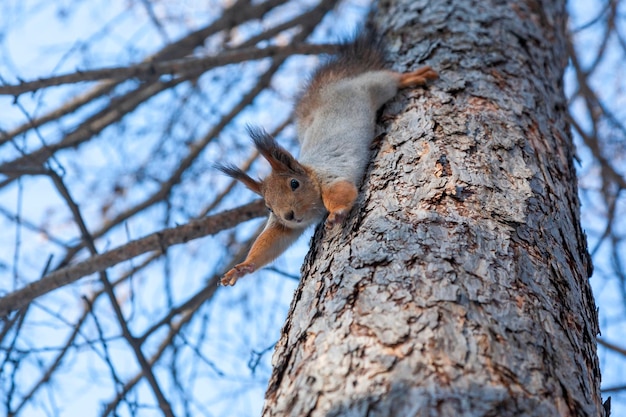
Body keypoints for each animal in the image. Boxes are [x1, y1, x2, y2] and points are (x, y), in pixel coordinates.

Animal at [217, 30, 436, 286]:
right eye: (269, 208)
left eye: (294, 183)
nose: (288, 215)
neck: (311, 174)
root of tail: (330, 88)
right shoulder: (285, 227)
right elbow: (273, 240)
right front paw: (242, 268)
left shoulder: (330, 175)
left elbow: (340, 191)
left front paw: (336, 213)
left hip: (372, 86)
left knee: (390, 78)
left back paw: (415, 76)